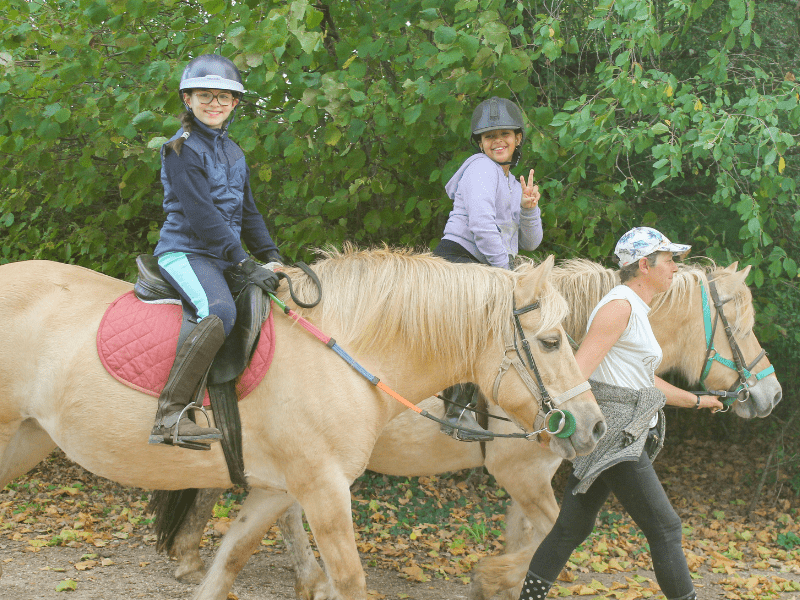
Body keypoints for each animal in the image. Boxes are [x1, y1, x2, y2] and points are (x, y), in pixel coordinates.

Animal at [0, 248, 608, 600]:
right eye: (550, 341)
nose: (595, 428)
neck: (346, 354)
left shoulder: (278, 487)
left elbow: (231, 559)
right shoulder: (325, 488)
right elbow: (350, 579)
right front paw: (491, 576)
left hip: (27, 440)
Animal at [159, 258, 780, 600]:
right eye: (742, 325)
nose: (771, 395)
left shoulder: (532, 478)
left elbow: (532, 539)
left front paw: (500, 582)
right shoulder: (521, 473)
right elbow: (549, 537)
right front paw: (488, 578)